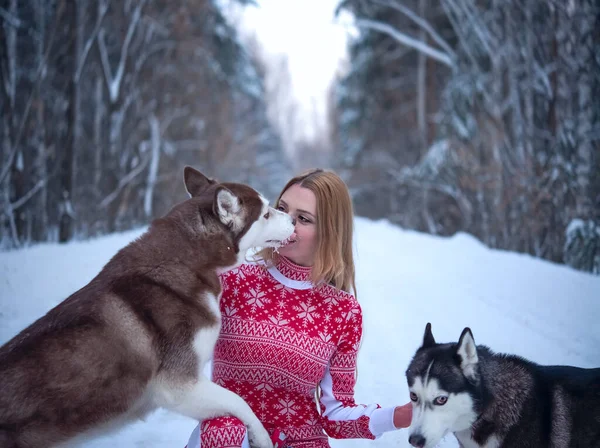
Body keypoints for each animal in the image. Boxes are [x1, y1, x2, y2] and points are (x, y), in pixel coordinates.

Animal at [0, 168, 296, 448]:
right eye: (266, 214)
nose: (294, 220)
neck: (187, 259)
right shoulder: (179, 386)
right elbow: (239, 402)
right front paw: (262, 438)